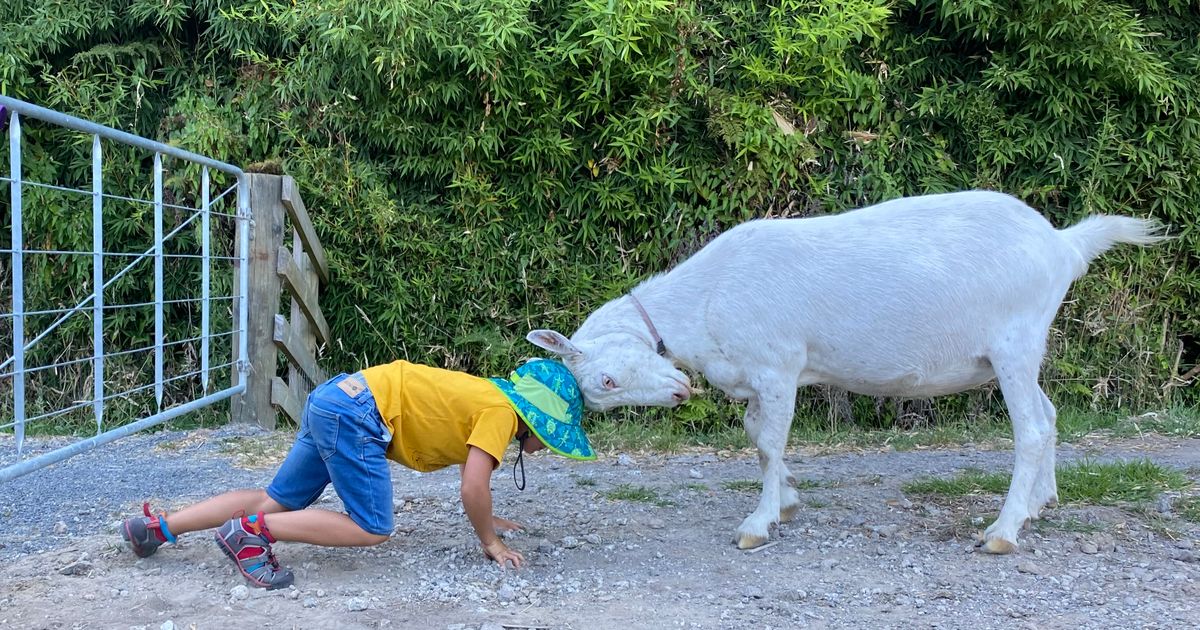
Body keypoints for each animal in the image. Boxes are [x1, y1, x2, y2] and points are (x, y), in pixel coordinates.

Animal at [527, 190, 1167, 553]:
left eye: (605, 382)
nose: (681, 392)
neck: (705, 297)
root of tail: (1064, 244)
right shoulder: (760, 379)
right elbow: (758, 439)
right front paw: (786, 500)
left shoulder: (777, 365)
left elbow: (769, 443)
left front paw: (758, 523)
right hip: (1023, 351)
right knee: (1050, 414)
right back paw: (1040, 503)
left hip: (1014, 343)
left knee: (1030, 429)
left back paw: (1003, 532)